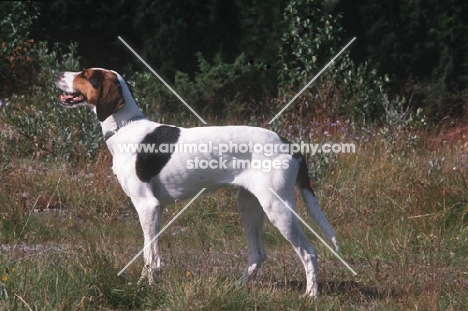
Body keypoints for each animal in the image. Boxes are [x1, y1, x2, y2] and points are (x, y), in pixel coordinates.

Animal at [54, 68, 338, 298]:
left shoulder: (146, 205)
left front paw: (145, 287)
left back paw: (311, 295)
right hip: (249, 207)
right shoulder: (157, 209)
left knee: (309, 252)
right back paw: (239, 287)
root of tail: (290, 145)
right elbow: (151, 253)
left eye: (85, 74)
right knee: (258, 254)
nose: (57, 73)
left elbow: (149, 255)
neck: (125, 127)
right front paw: (148, 284)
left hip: (278, 208)